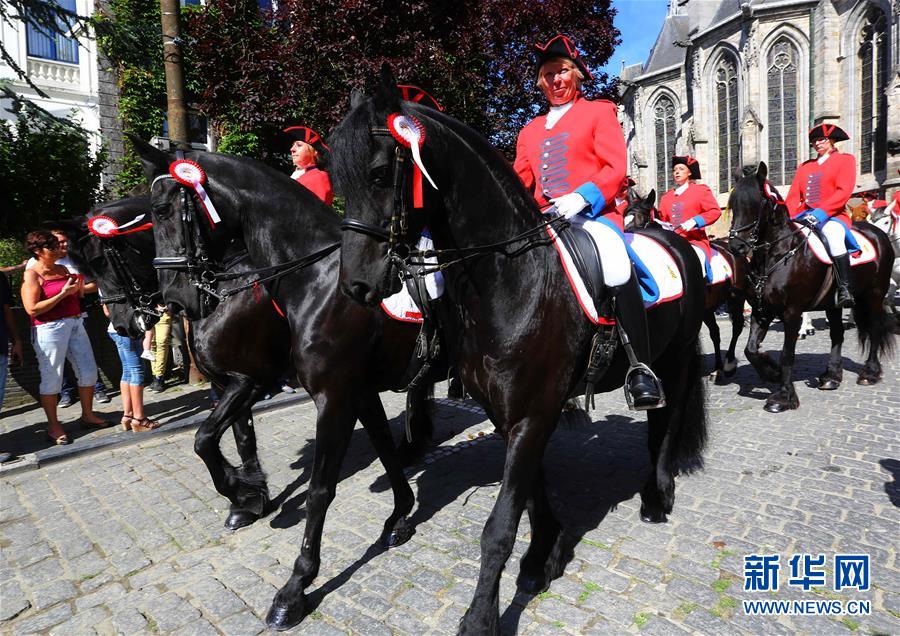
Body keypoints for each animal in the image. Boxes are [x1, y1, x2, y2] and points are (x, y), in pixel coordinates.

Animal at [62, 196, 292, 528]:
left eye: (99, 261)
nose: (121, 326)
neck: (221, 292)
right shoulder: (230, 382)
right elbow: (242, 438)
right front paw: (252, 499)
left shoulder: (249, 380)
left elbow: (204, 440)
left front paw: (237, 488)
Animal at [132, 139, 444, 632]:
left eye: (163, 210)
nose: (176, 302)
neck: (318, 283)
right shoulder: (351, 392)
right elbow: (383, 452)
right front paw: (398, 517)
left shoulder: (316, 395)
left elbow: (319, 489)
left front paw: (295, 586)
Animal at [330, 69, 712, 636]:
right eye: (336, 178)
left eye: (379, 174)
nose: (356, 285)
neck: (509, 280)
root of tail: (676, 240)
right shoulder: (512, 412)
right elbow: (530, 493)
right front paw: (544, 553)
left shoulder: (533, 412)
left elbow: (500, 526)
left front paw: (480, 616)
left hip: (677, 356)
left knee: (669, 417)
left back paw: (657, 493)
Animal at [624, 189, 744, 382]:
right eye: (623, 218)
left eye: (641, 220)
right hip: (707, 308)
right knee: (715, 333)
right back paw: (717, 369)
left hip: (735, 298)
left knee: (737, 326)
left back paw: (728, 364)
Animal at [732, 163, 892, 412]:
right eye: (733, 204)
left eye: (756, 204)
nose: (735, 246)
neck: (777, 255)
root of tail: (878, 234)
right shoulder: (761, 310)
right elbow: (750, 350)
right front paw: (771, 372)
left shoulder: (792, 313)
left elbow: (788, 354)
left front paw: (784, 397)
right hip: (833, 304)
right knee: (837, 334)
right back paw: (831, 376)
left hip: (874, 296)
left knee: (874, 328)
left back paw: (869, 373)